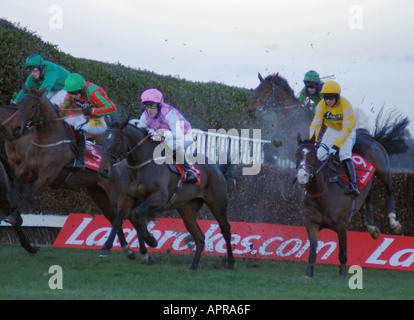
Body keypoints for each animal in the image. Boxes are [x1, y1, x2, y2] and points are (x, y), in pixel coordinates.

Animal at [4, 87, 157, 260]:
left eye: (32, 106)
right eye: (20, 104)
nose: (16, 128)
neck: (47, 139)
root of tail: (125, 161)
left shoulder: (47, 175)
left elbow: (29, 193)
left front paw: (12, 216)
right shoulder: (29, 170)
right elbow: (16, 181)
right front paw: (14, 211)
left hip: (118, 194)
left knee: (130, 216)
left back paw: (144, 251)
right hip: (98, 193)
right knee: (114, 218)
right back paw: (126, 250)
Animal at [95, 119, 234, 270]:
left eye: (117, 142)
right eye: (103, 139)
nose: (103, 171)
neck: (141, 166)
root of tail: (217, 167)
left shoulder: (160, 198)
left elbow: (139, 213)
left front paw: (151, 240)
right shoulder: (126, 198)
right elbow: (118, 220)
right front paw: (107, 248)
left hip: (217, 204)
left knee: (225, 229)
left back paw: (230, 263)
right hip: (187, 210)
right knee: (199, 237)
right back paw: (193, 267)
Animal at [296, 113, 410, 278]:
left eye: (312, 154)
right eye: (296, 154)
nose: (302, 175)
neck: (321, 192)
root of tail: (368, 136)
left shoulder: (341, 225)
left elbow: (343, 252)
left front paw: (343, 273)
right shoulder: (311, 223)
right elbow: (312, 252)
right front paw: (308, 274)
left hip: (383, 169)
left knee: (390, 189)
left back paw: (394, 222)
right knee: (368, 195)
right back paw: (371, 227)